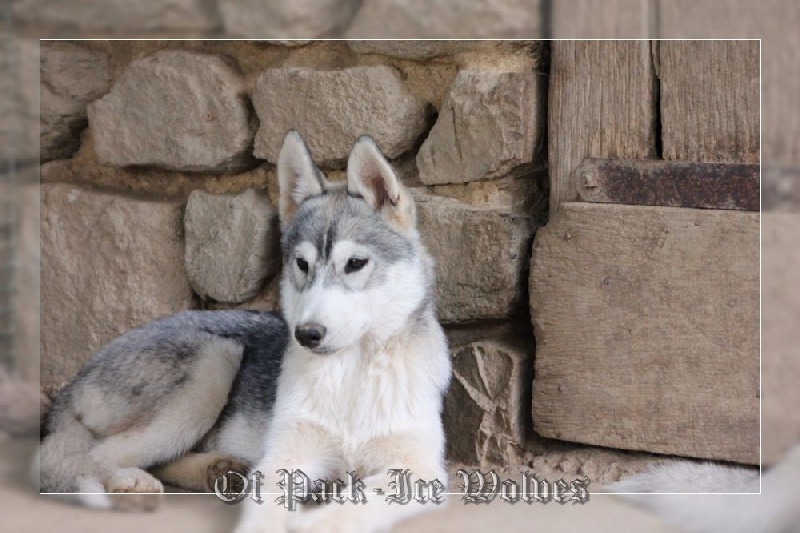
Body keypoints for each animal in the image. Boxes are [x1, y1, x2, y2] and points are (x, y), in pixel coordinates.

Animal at [38, 131, 452, 532]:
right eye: (301, 264)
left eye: (355, 263)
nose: (306, 334)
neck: (350, 375)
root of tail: (77, 379)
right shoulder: (285, 457)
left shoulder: (420, 471)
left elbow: (352, 505)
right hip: (213, 363)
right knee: (89, 456)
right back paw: (132, 482)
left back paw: (219, 470)